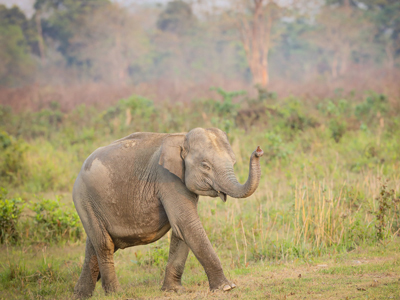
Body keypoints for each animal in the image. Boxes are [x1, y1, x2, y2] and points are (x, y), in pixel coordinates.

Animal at [73, 126, 264, 298]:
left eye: (233, 162)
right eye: (205, 166)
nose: (258, 150)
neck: (182, 137)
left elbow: (181, 229)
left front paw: (173, 291)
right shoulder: (166, 177)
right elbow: (187, 224)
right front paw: (226, 288)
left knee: (95, 245)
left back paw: (81, 294)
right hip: (84, 199)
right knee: (104, 244)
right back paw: (115, 293)